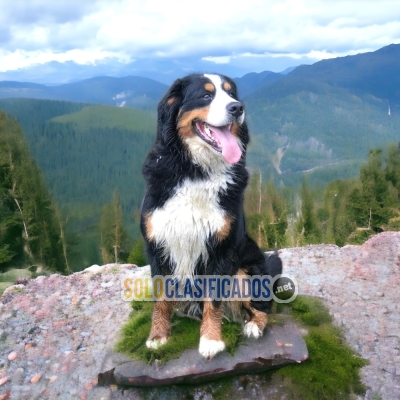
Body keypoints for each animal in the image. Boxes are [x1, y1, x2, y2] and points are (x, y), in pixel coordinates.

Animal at [140, 72, 282, 360]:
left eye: (231, 93)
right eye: (206, 95)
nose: (237, 107)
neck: (196, 172)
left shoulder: (222, 248)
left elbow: (213, 300)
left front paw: (210, 339)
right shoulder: (157, 244)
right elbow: (161, 300)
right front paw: (158, 336)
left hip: (246, 271)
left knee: (263, 307)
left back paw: (253, 325)